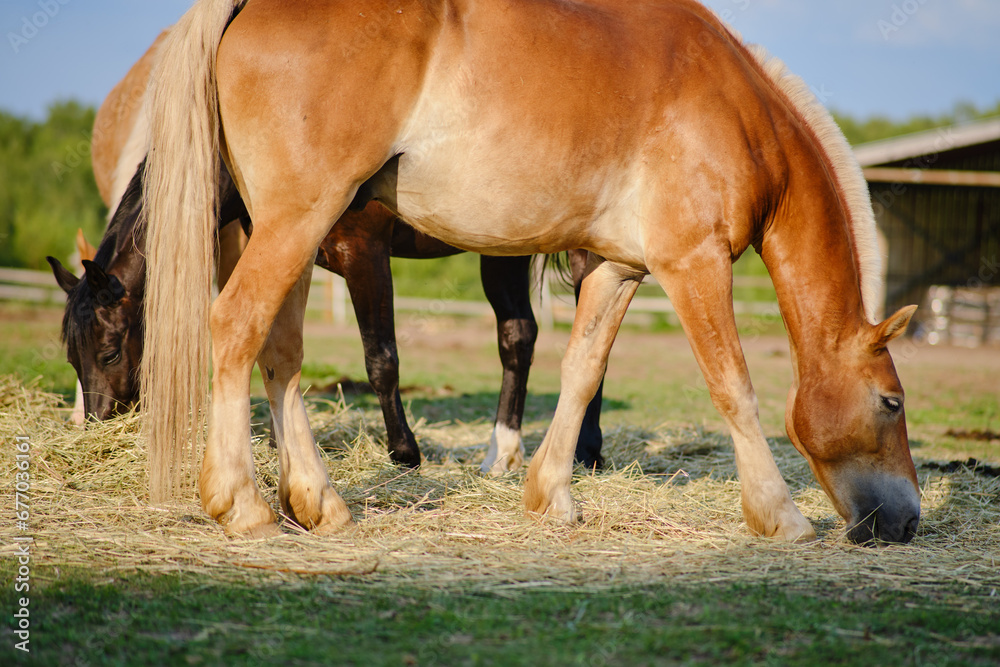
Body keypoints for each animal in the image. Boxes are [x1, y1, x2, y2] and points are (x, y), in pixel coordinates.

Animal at [47, 29, 607, 472]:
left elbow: (381, 358)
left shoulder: (364, 257)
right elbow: (271, 350)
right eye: (71, 357)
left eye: (109, 350)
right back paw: (502, 454)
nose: (98, 425)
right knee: (519, 337)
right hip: (503, 251)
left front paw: (405, 453)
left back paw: (586, 451)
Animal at [141, 0, 920, 544]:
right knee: (236, 325)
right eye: (891, 402)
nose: (910, 519)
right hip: (297, 221)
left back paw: (316, 501)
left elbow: (580, 372)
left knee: (281, 351)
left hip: (287, 230)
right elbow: (734, 386)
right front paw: (779, 515)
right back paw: (242, 504)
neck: (738, 110)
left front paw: (552, 496)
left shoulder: (616, 269)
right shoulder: (692, 264)